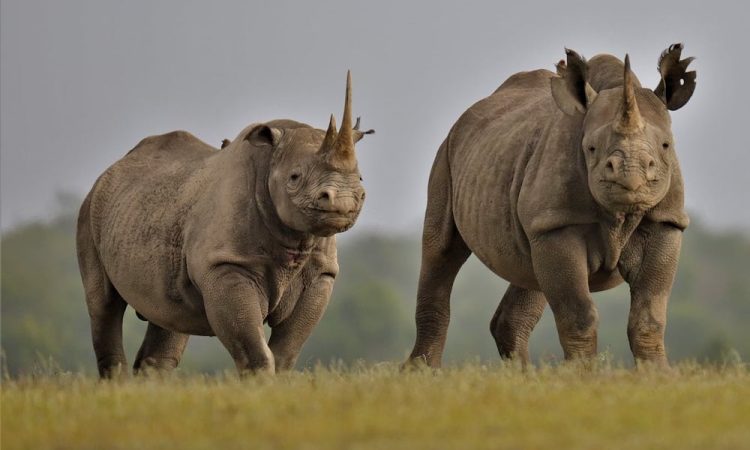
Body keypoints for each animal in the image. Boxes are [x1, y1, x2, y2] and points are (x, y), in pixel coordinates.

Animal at [77, 73, 372, 377]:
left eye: (361, 178)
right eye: (294, 177)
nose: (344, 201)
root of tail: (112, 169)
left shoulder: (320, 273)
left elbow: (287, 350)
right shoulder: (226, 265)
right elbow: (254, 349)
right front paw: (259, 383)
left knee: (168, 313)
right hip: (90, 211)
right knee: (104, 305)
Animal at [406, 44, 696, 368]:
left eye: (666, 146)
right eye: (591, 148)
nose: (630, 177)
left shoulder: (665, 221)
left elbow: (649, 314)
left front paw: (658, 374)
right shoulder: (558, 224)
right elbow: (578, 313)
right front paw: (581, 374)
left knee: (528, 269)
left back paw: (525, 375)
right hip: (447, 154)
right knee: (441, 250)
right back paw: (421, 372)